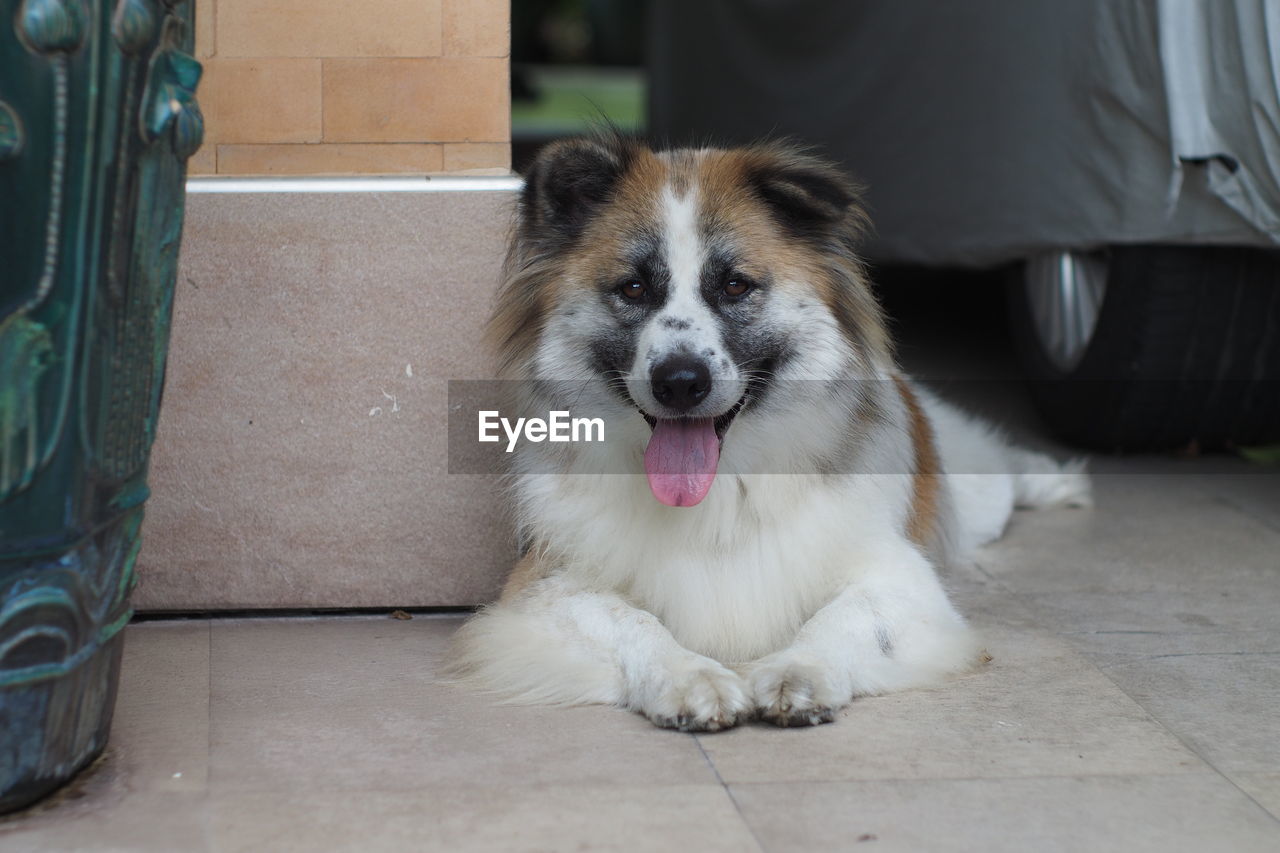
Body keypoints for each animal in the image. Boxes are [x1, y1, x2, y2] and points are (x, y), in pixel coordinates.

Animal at [450, 136, 1090, 727]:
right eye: (633, 288)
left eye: (735, 286)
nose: (680, 382)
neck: (719, 491)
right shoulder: (547, 588)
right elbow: (632, 619)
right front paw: (688, 676)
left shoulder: (901, 581)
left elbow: (843, 618)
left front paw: (798, 669)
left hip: (975, 496)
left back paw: (1052, 480)